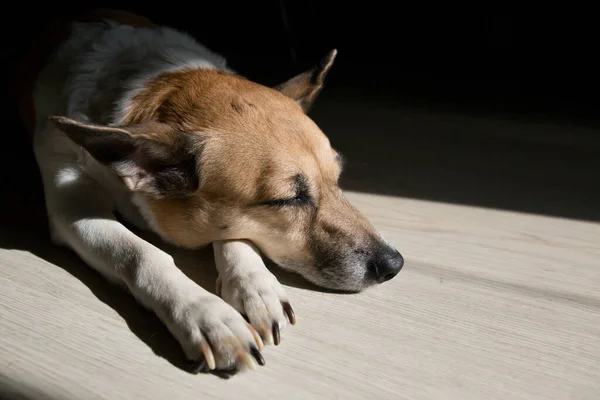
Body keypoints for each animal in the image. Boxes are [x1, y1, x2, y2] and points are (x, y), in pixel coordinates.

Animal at [16, 8, 406, 372]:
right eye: (288, 199)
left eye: (337, 179)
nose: (395, 265)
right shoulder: (72, 204)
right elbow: (141, 253)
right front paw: (207, 315)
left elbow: (235, 235)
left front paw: (256, 287)